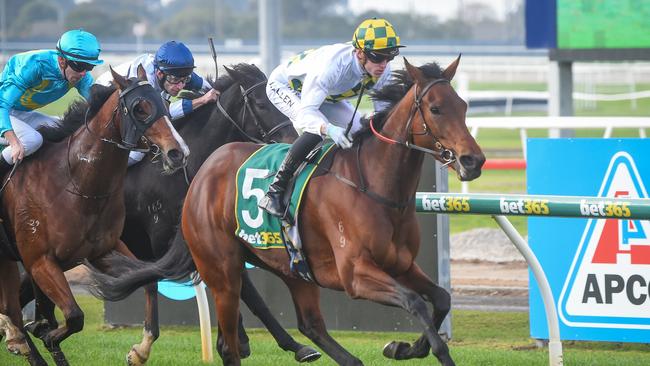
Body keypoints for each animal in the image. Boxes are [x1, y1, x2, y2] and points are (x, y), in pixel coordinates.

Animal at [0, 66, 187, 366]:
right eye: (140, 109)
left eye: (164, 104)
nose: (177, 153)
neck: (76, 183)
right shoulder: (39, 260)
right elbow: (74, 316)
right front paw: (46, 333)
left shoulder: (103, 250)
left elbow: (148, 281)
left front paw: (140, 350)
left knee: (11, 307)